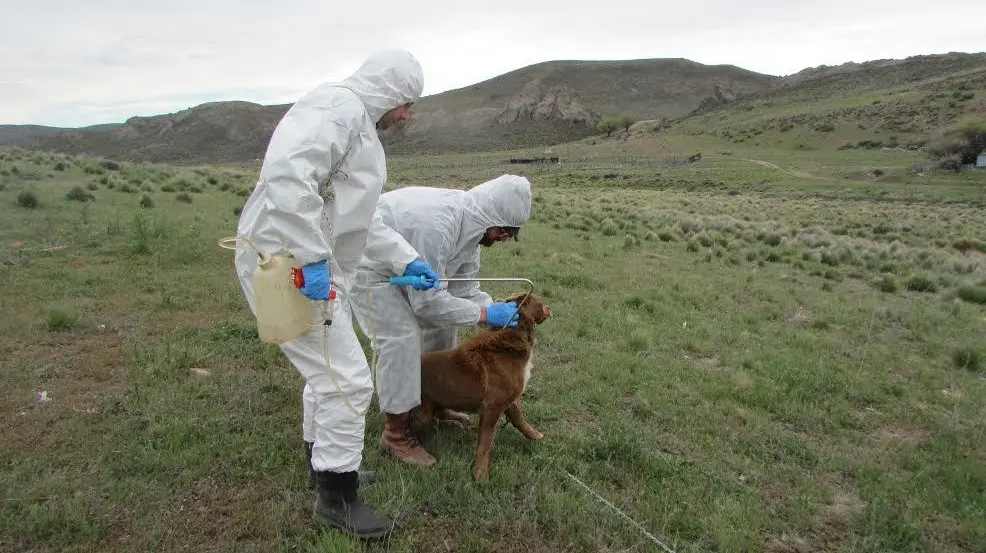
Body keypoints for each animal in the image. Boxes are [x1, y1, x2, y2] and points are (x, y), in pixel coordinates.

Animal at [406, 292, 544, 476]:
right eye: (541, 304)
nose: (549, 309)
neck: (508, 343)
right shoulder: (492, 407)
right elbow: (485, 442)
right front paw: (480, 472)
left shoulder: (508, 399)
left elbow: (519, 418)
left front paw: (533, 435)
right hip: (423, 413)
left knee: (438, 417)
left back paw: (453, 423)